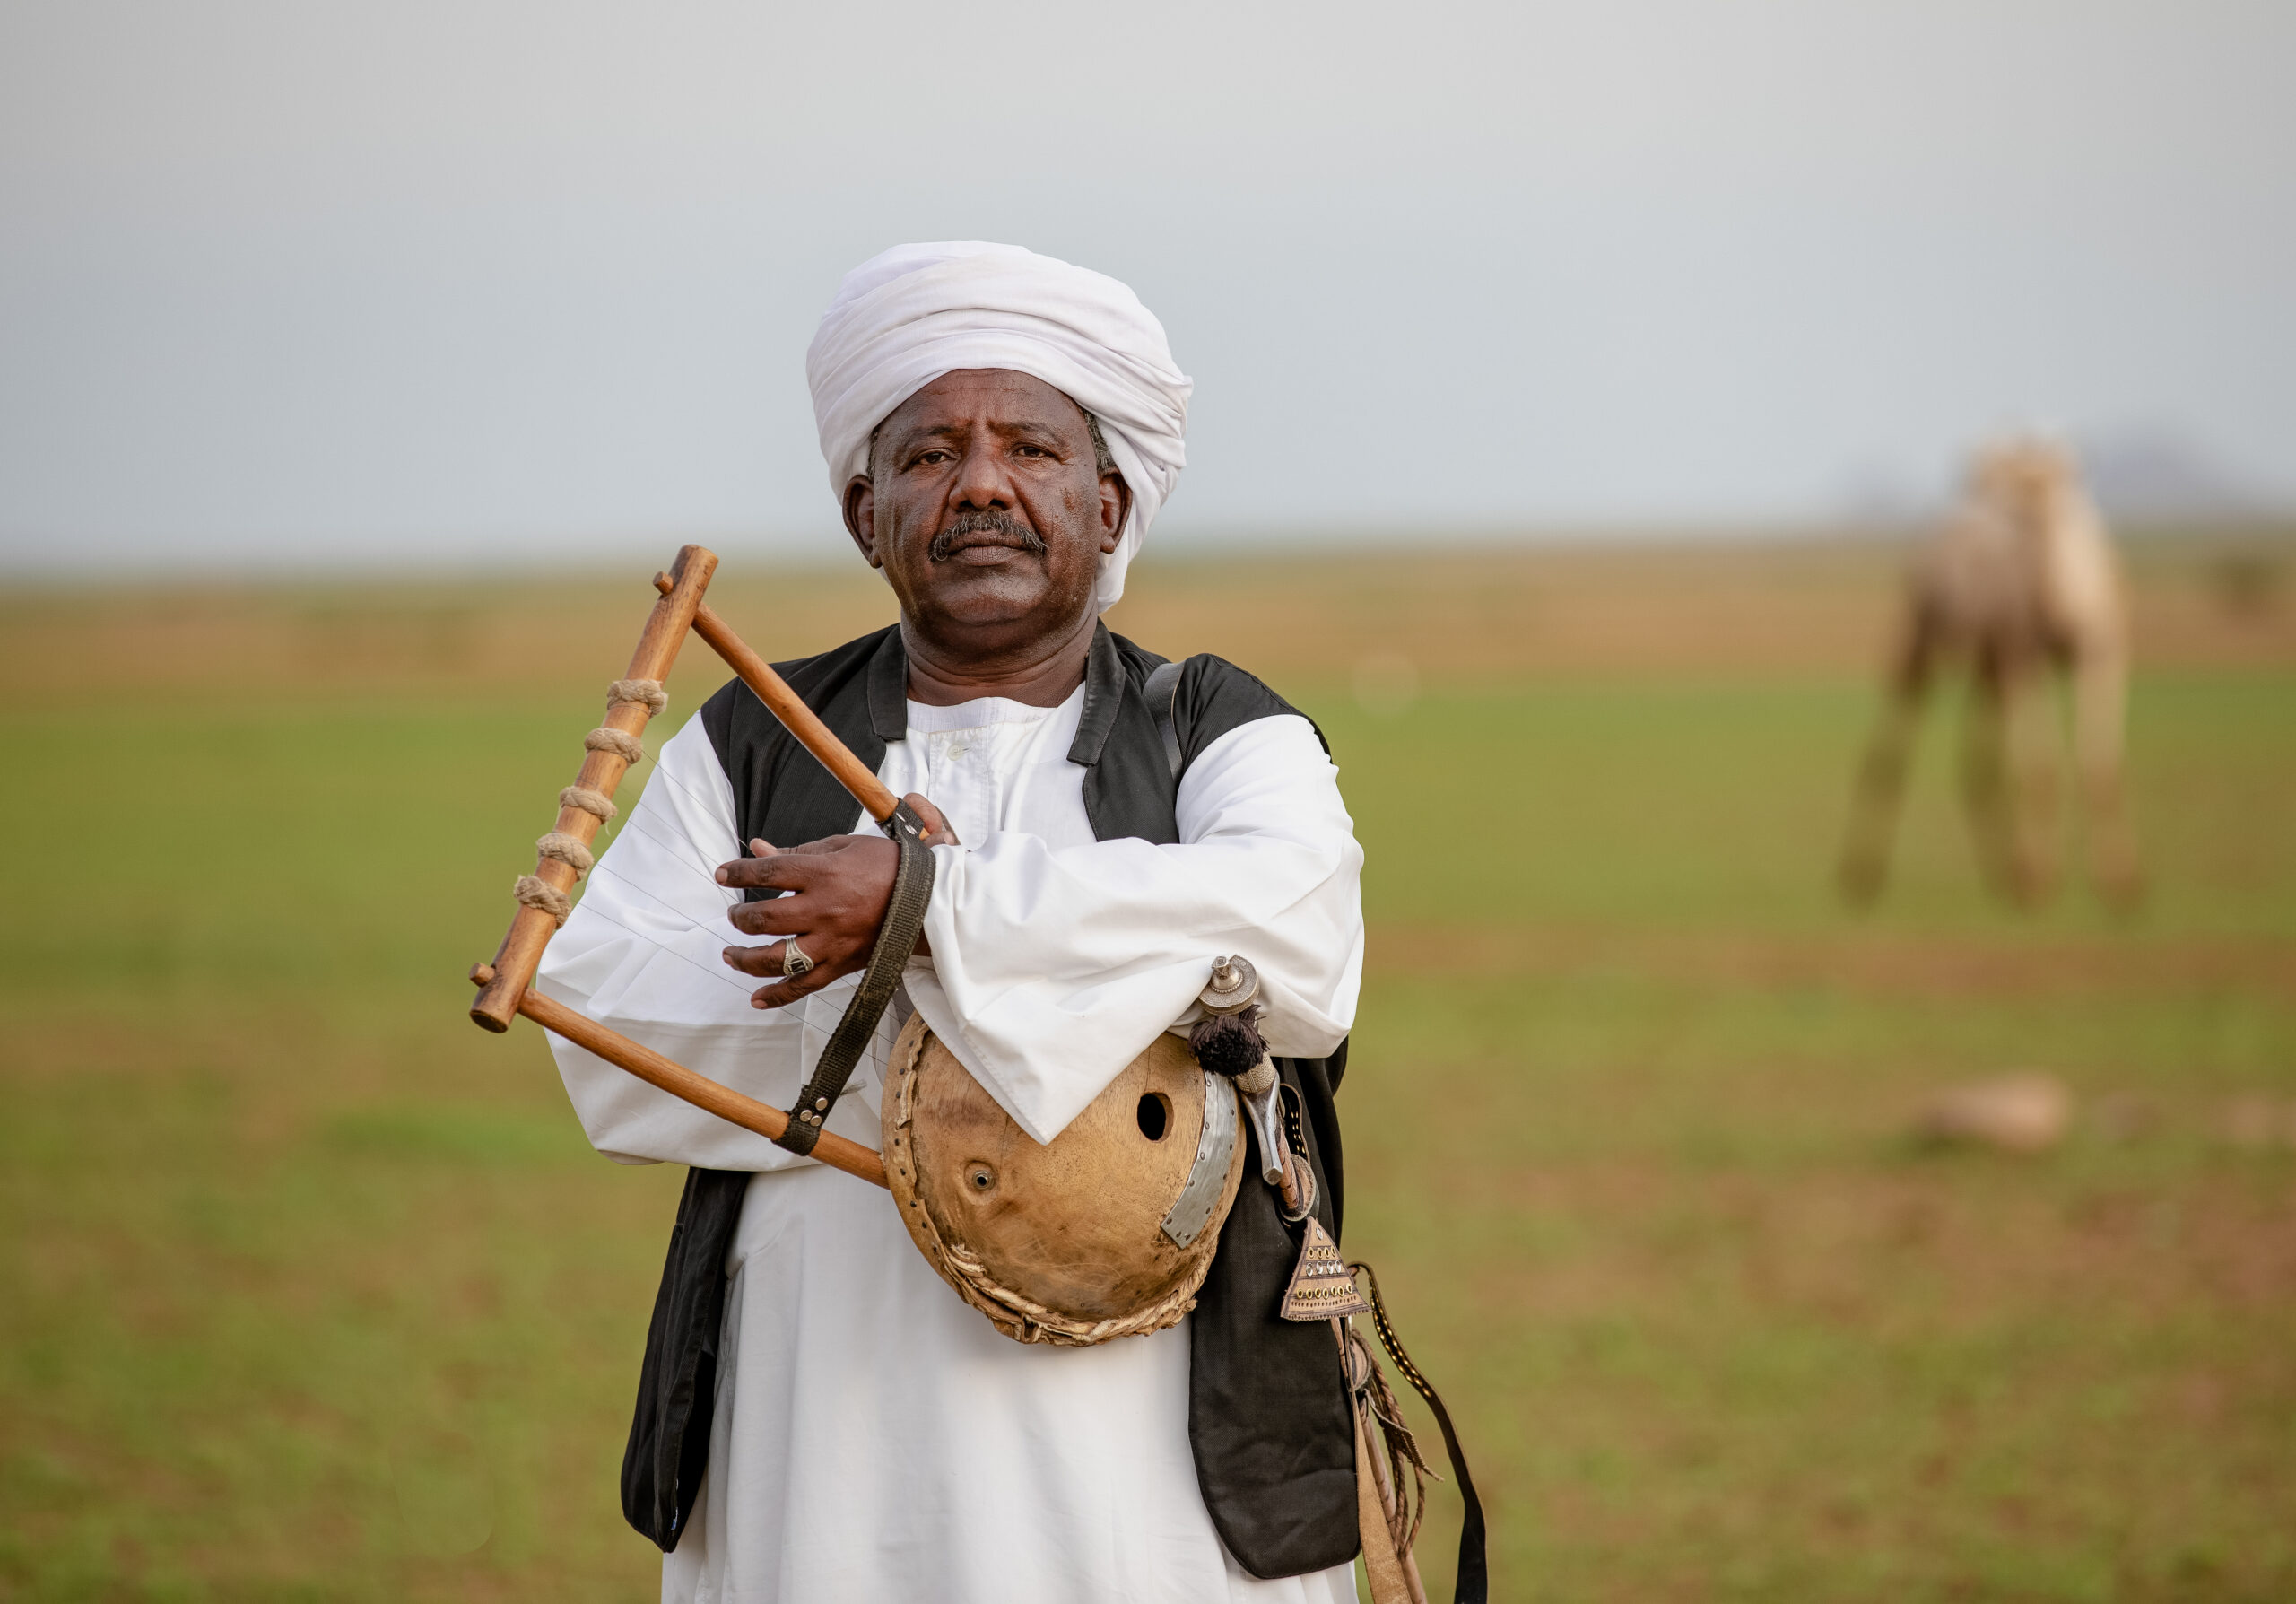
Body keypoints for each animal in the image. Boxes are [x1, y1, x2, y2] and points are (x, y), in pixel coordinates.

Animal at [1840, 435, 2142, 908]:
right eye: (1998, 471)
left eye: (2030, 482)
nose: (1970, 480)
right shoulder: (2025, 656)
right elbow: (2039, 770)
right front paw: (2041, 882)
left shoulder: (2102, 655)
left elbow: (2099, 768)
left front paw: (2122, 887)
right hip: (1926, 634)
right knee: (1894, 743)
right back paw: (1861, 878)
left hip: (1987, 662)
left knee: (1976, 759)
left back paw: (2004, 875)